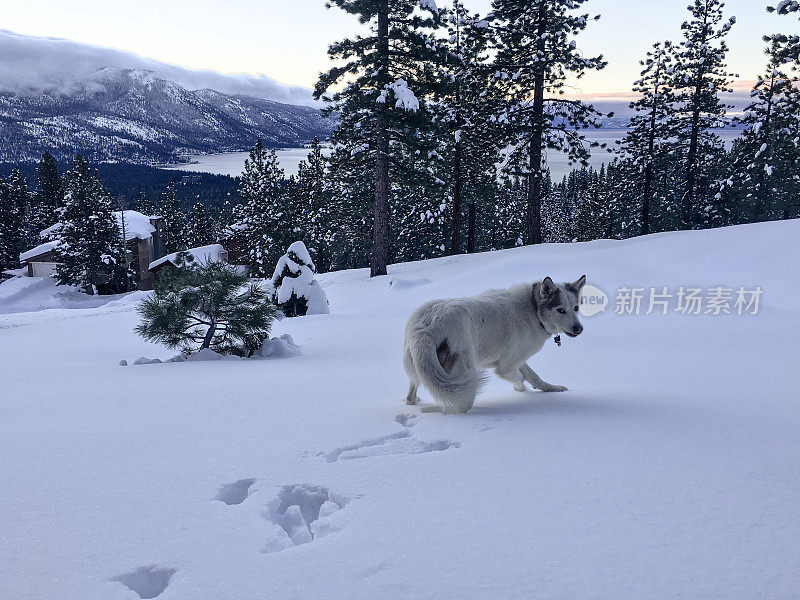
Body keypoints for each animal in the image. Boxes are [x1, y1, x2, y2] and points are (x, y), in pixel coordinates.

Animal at [404, 276, 584, 412]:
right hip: (464, 377)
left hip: (421, 369)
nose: (579, 328)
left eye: (576, 308)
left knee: (410, 397)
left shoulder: (519, 359)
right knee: (458, 405)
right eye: (561, 310)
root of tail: (426, 327)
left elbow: (534, 377)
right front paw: (520, 387)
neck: (533, 308)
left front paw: (552, 388)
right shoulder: (506, 367)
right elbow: (519, 376)